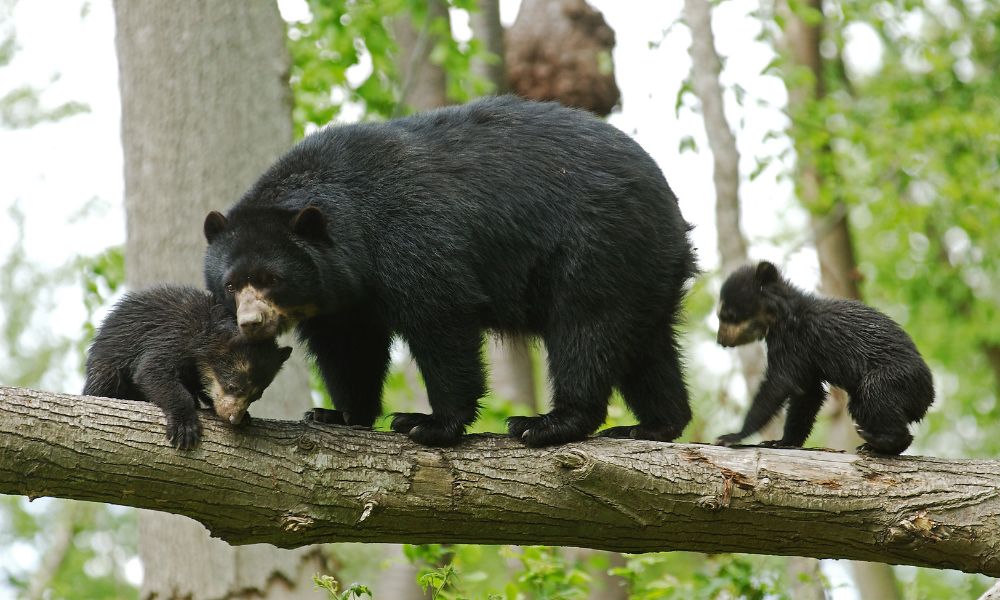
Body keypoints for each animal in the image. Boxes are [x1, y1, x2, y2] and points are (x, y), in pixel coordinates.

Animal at [84, 288, 292, 450]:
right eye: (232, 386)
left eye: (256, 396)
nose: (234, 419)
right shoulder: (173, 335)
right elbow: (152, 371)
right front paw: (184, 427)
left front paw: (245, 416)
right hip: (106, 367)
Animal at [205, 96, 696, 448]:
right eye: (230, 285)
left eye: (272, 280)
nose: (251, 323)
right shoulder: (340, 298)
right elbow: (349, 347)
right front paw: (337, 414)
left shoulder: (408, 236)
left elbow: (440, 318)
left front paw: (427, 423)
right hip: (645, 267)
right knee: (646, 346)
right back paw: (654, 425)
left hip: (599, 246)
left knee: (586, 328)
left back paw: (547, 424)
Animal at [716, 262, 932, 454]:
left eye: (728, 315)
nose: (720, 341)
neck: (781, 315)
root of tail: (929, 397)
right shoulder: (805, 359)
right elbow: (808, 394)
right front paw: (780, 442)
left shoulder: (794, 342)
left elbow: (778, 384)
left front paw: (732, 436)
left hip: (895, 377)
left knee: (875, 392)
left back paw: (877, 439)